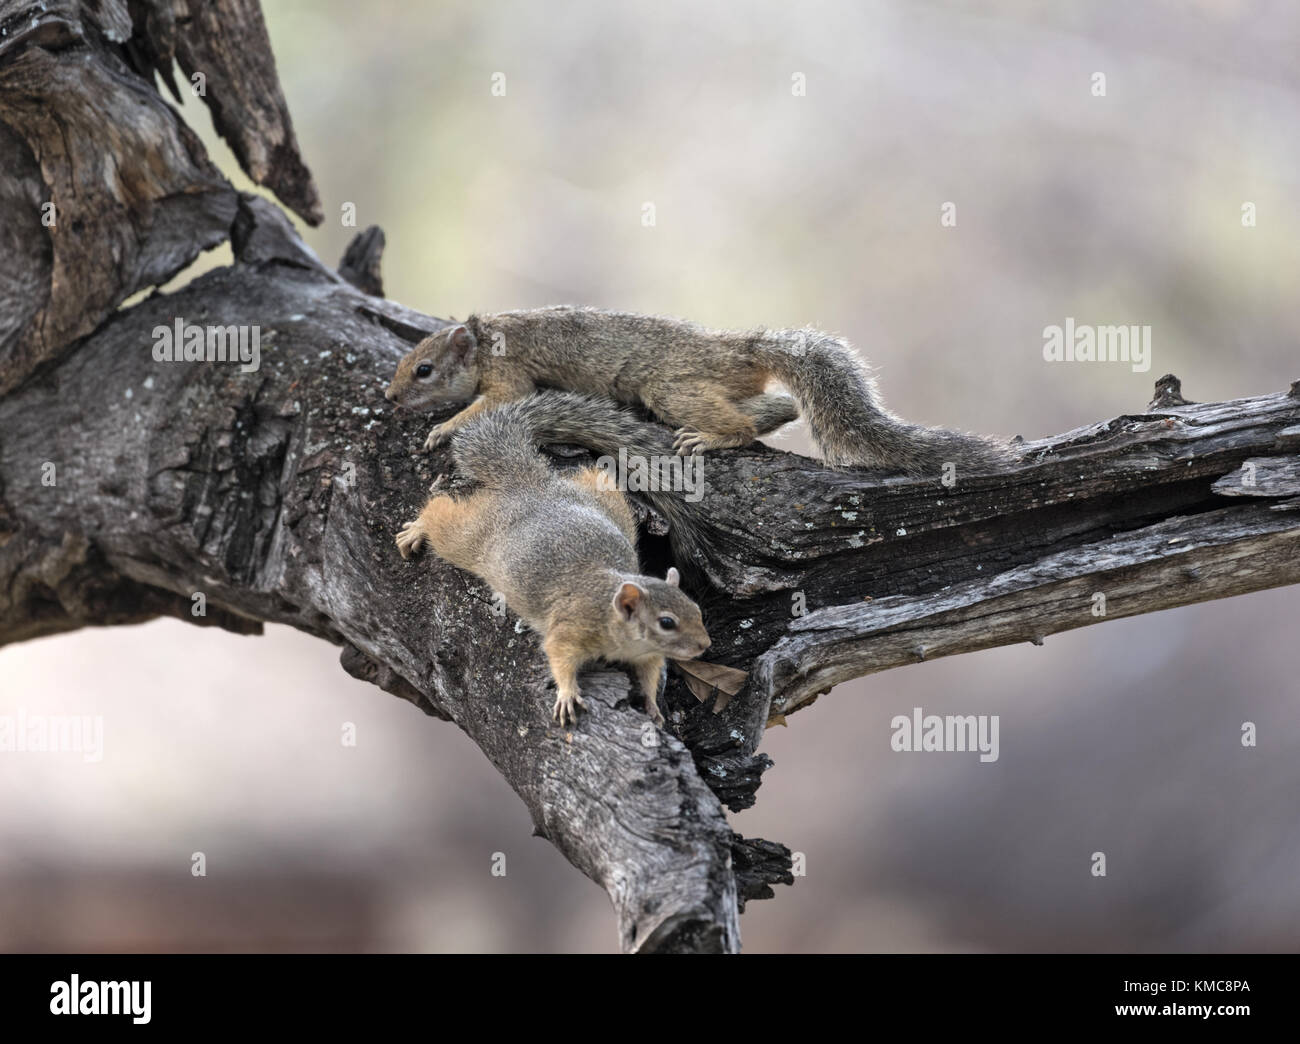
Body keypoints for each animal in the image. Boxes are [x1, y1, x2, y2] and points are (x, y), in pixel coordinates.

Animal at [384, 306, 1011, 475]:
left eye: (424, 370)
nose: (390, 399)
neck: (485, 339)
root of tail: (739, 350)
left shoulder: (510, 376)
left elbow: (491, 403)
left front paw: (443, 428)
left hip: (670, 388)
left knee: (741, 421)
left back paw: (711, 440)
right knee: (779, 405)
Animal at [393, 400, 712, 728]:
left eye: (696, 610)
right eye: (666, 622)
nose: (704, 645)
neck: (608, 609)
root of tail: (531, 485)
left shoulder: (647, 653)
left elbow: (649, 675)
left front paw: (652, 706)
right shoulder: (570, 628)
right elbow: (558, 655)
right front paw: (568, 693)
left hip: (607, 501)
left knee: (593, 476)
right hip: (474, 538)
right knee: (441, 514)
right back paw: (418, 529)